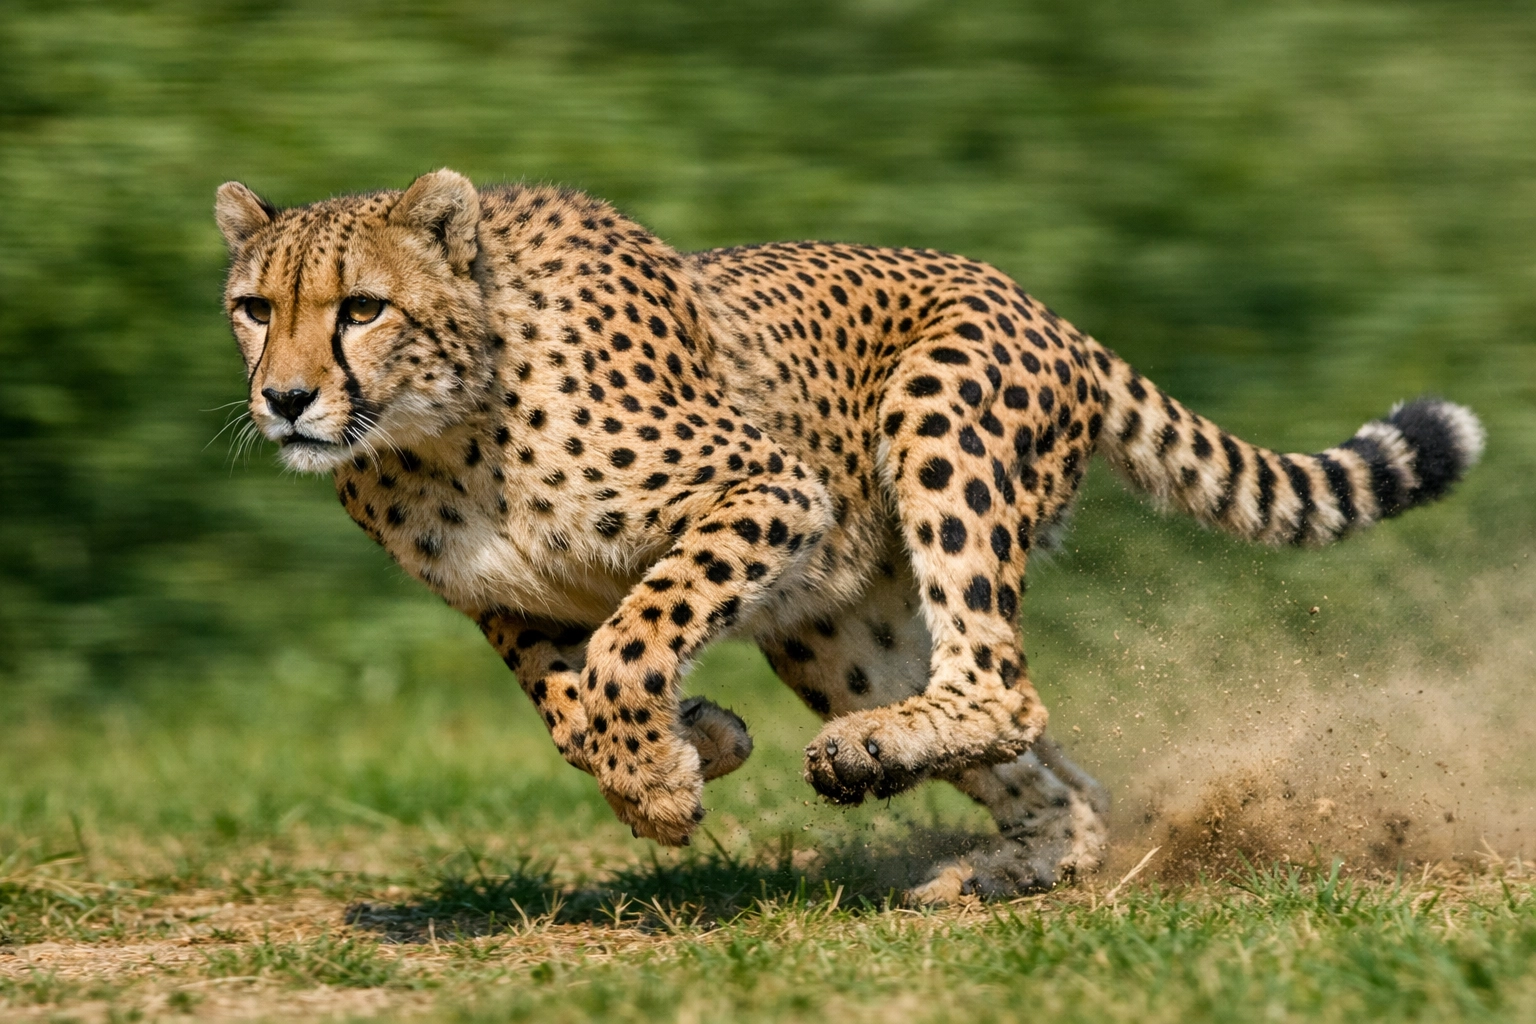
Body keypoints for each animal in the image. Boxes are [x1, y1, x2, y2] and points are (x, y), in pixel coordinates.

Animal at [215, 169, 1484, 900]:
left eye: (362, 308)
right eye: (254, 308)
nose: (285, 400)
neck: (438, 430)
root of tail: (1033, 300)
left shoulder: (768, 487)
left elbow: (631, 638)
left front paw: (663, 777)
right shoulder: (508, 600)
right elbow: (567, 702)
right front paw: (692, 746)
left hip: (937, 424)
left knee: (1000, 682)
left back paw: (890, 763)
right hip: (832, 629)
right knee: (1048, 751)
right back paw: (1015, 855)